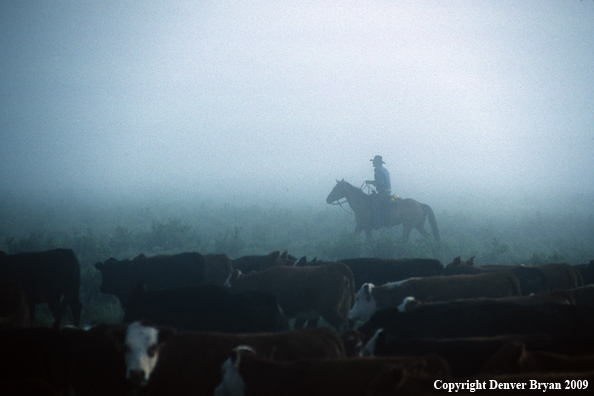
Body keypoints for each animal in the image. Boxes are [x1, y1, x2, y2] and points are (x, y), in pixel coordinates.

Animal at [224, 262, 354, 332]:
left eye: (227, 287)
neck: (258, 281)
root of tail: (339, 267)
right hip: (343, 308)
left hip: (329, 309)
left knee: (343, 326)